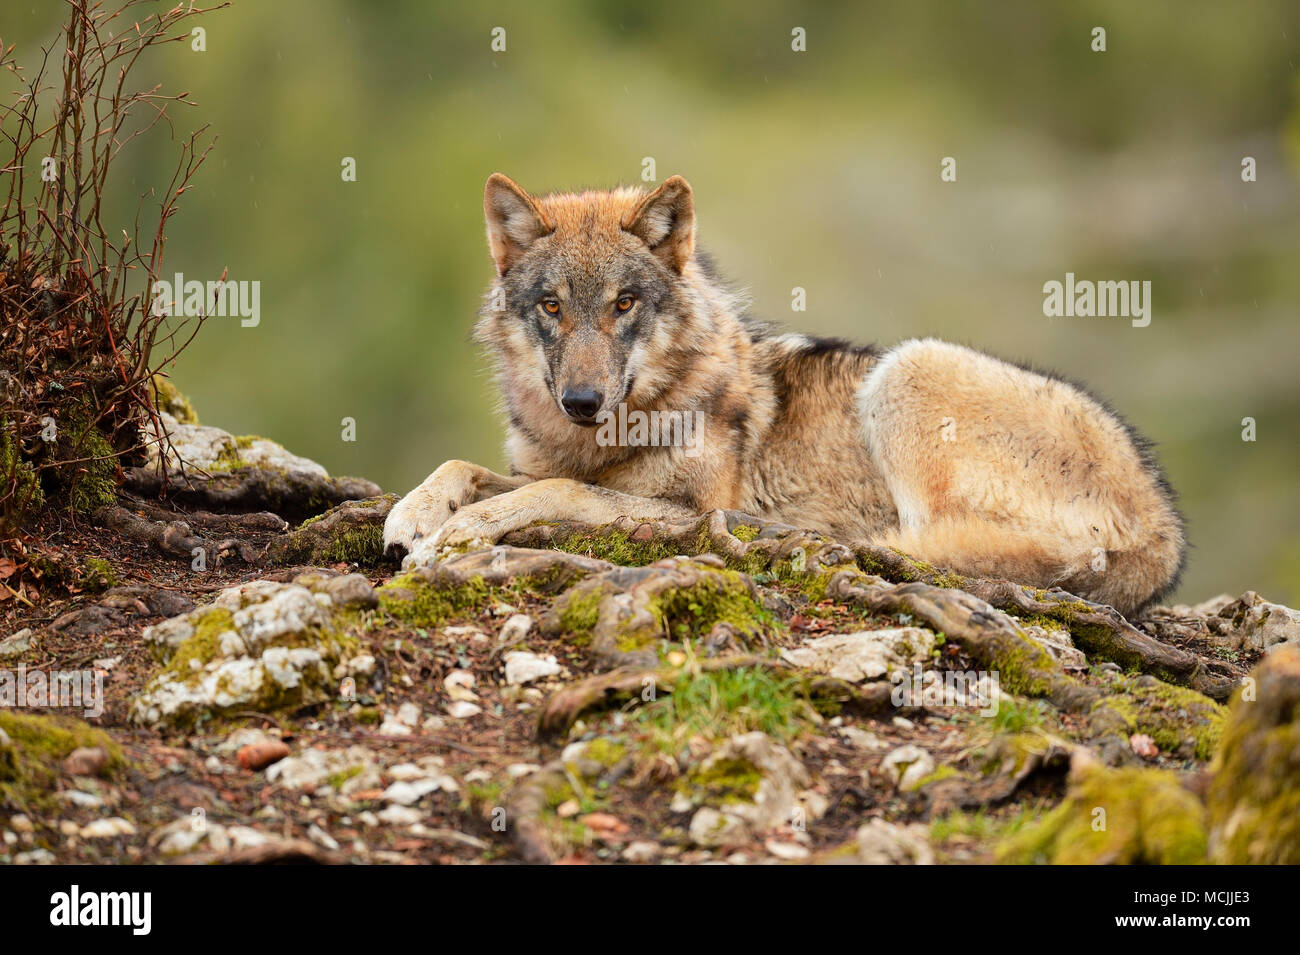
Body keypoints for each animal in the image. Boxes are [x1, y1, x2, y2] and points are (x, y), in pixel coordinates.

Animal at [379, 175, 1185, 615]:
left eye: (623, 304)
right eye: (551, 307)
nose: (581, 399)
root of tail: (1165, 525)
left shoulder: (692, 511)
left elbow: (558, 494)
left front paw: (460, 531)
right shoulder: (536, 464)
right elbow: (466, 469)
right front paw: (416, 513)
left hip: (906, 369)